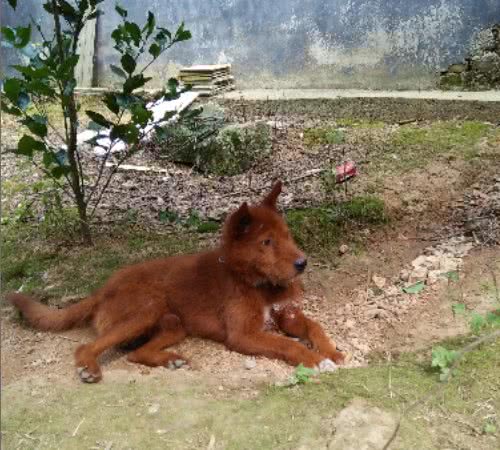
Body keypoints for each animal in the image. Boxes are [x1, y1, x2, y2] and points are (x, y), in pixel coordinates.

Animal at [7, 181, 346, 382]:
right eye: (266, 242)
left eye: (287, 236)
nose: (303, 263)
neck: (256, 283)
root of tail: (102, 289)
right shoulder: (243, 335)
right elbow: (288, 345)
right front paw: (315, 360)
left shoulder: (287, 315)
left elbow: (314, 327)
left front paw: (331, 351)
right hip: (147, 307)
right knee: (87, 347)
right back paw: (89, 367)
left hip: (173, 324)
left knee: (135, 353)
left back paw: (169, 360)